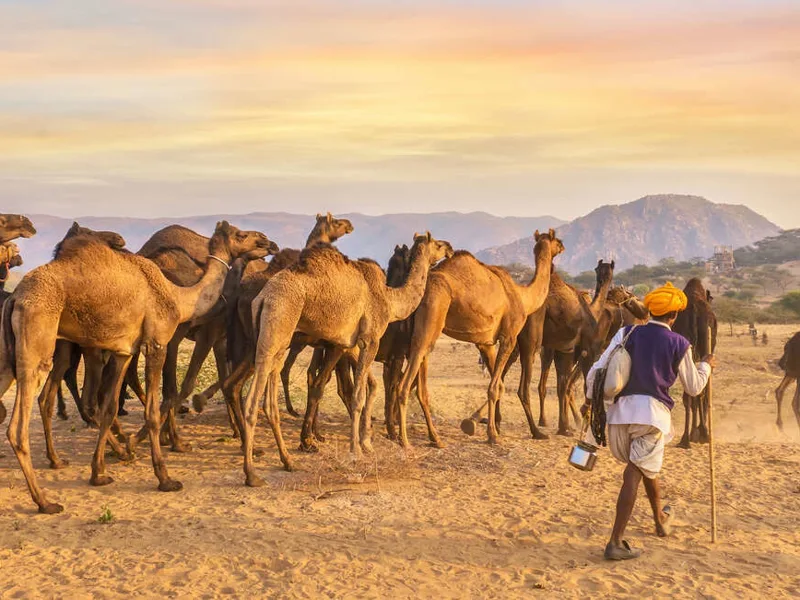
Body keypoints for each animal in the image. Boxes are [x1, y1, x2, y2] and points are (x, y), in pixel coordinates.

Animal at [0, 220, 274, 513]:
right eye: (241, 235)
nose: (268, 242)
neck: (177, 295)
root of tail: (15, 298)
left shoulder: (124, 351)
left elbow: (109, 409)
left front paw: (99, 472)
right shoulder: (157, 342)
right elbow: (154, 409)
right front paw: (165, 477)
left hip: (12, 356)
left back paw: (59, 464)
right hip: (37, 340)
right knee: (19, 427)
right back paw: (44, 501)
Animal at [241, 232, 453, 486]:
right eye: (438, 244)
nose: (450, 248)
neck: (389, 298)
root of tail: (262, 298)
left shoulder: (347, 343)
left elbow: (360, 389)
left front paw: (364, 444)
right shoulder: (370, 339)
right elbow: (358, 396)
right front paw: (357, 451)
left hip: (282, 338)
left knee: (271, 397)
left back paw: (288, 461)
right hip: (276, 326)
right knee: (251, 399)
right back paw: (252, 474)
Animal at [394, 230, 563, 449]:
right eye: (557, 240)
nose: (563, 246)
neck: (523, 297)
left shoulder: (485, 343)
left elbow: (499, 385)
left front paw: (491, 426)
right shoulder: (509, 336)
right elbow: (494, 387)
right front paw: (493, 435)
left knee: (420, 384)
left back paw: (434, 438)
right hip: (431, 317)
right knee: (406, 379)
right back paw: (405, 440)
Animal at [673, 278, 717, 448]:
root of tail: (695, 310)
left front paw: (694, 433)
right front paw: (698, 432)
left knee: (690, 394)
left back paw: (687, 438)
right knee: (700, 391)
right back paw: (701, 434)